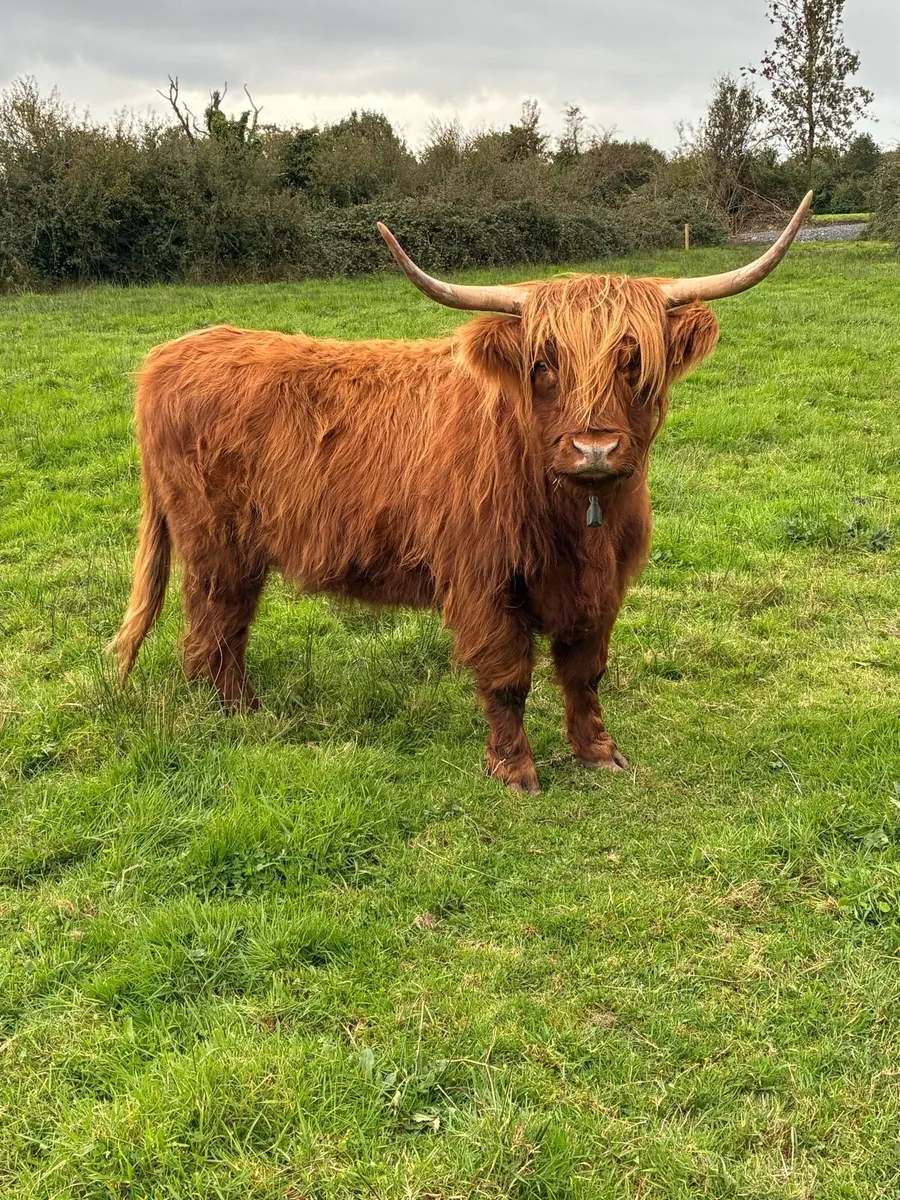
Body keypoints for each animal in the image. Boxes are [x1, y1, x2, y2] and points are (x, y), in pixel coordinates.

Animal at [110, 193, 812, 794]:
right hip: (215, 544)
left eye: (634, 360)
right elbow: (507, 676)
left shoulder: (605, 581)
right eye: (543, 363)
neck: (578, 522)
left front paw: (598, 752)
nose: (594, 449)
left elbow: (585, 669)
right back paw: (240, 715)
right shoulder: (481, 575)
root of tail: (171, 353)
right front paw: (514, 769)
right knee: (214, 627)